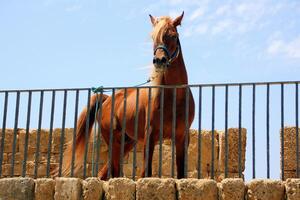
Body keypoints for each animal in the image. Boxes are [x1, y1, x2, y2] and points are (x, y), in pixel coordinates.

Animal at [62, 12, 196, 180]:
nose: (159, 60)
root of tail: (107, 99)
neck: (174, 98)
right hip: (115, 142)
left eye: (173, 35)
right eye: (153, 37)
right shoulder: (150, 137)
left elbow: (181, 174)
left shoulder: (182, 137)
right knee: (113, 172)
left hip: (128, 142)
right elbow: (146, 173)